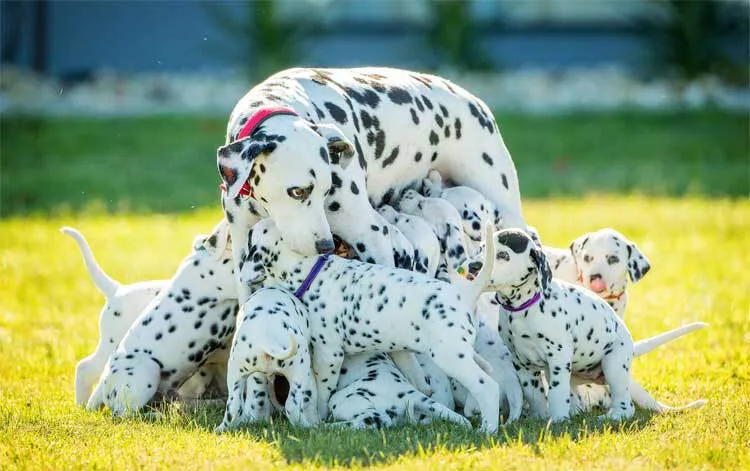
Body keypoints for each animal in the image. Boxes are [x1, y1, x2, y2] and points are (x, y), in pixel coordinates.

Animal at [214, 286, 318, 434]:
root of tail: (266, 339)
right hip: (299, 370)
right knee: (292, 407)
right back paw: (307, 427)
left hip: (235, 373)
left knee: (233, 408)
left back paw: (222, 428)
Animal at [238, 219, 502, 434]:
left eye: (250, 237)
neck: (311, 273)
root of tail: (463, 294)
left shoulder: (329, 354)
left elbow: (321, 391)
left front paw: (319, 417)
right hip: (460, 353)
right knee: (484, 370)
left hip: (451, 356)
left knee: (487, 386)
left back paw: (487, 428)